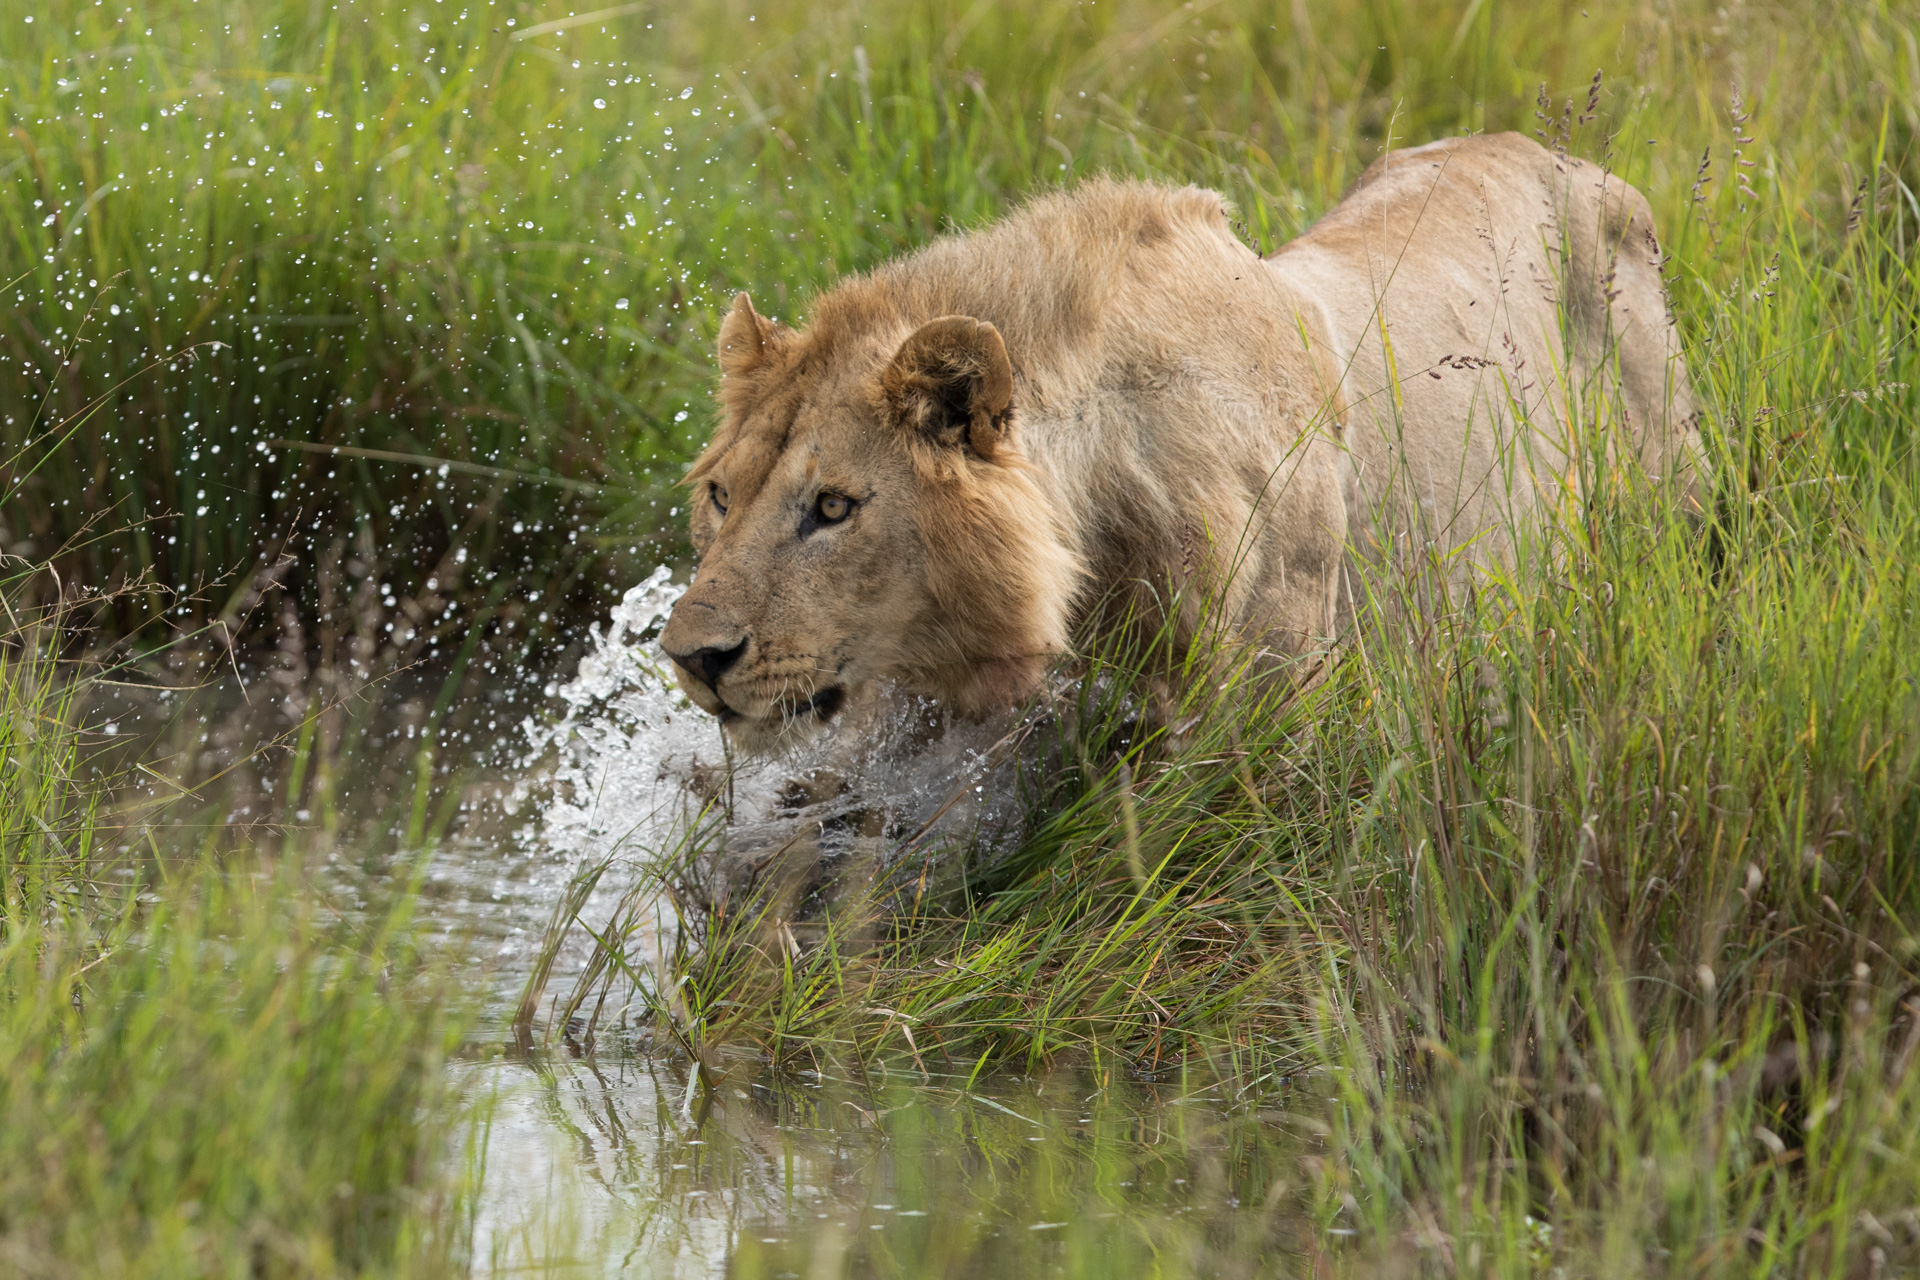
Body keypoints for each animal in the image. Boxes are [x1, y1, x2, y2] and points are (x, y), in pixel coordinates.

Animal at [664, 131, 1712, 756]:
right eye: (721, 496)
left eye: (833, 507)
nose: (690, 657)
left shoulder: (1278, 706)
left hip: (1680, 497)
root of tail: (1557, 153)